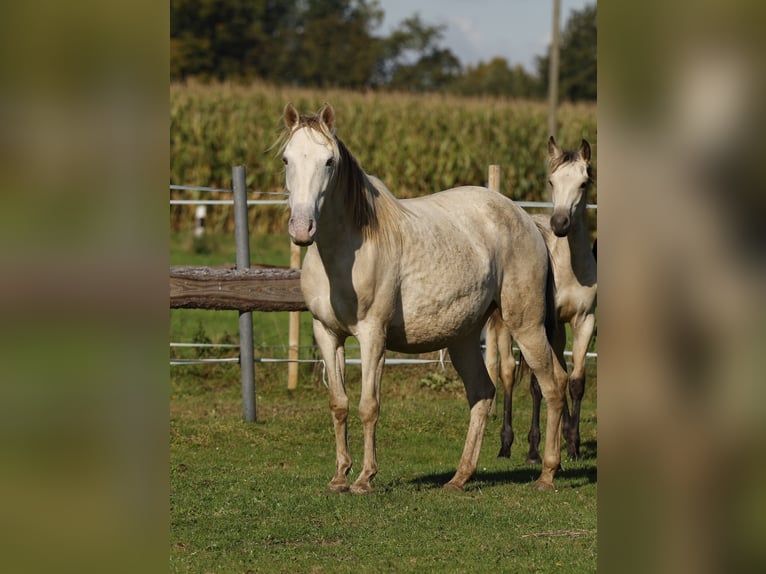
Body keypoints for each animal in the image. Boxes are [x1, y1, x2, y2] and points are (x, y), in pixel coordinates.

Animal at [278, 106, 568, 498]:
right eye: (287, 159)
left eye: (329, 161)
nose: (302, 228)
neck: (345, 251)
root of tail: (527, 220)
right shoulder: (327, 334)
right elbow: (338, 404)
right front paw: (339, 477)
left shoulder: (373, 335)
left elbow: (369, 406)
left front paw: (364, 478)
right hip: (464, 337)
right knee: (483, 393)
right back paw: (460, 478)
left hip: (526, 325)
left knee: (553, 384)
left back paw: (547, 473)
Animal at [486, 138, 600, 464]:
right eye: (551, 181)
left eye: (584, 182)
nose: (560, 223)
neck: (570, 270)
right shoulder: (545, 324)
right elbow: (537, 384)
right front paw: (535, 450)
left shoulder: (584, 321)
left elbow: (575, 382)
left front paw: (572, 444)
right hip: (509, 325)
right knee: (508, 373)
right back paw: (507, 445)